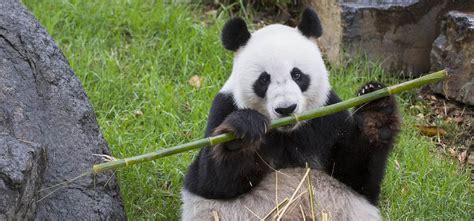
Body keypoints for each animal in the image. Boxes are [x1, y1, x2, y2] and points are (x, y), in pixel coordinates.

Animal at [181, 7, 400, 220]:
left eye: (297, 74)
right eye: (264, 79)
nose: (286, 108)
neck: (287, 132)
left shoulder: (329, 115)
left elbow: (355, 173)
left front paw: (375, 109)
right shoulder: (224, 107)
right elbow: (211, 182)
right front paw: (242, 133)